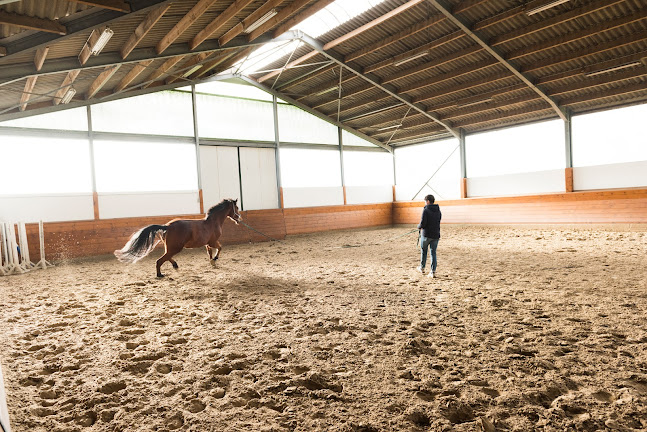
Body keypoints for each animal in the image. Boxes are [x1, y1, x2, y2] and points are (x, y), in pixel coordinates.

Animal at [112, 199, 242, 276]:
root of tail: (167, 226)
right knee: (160, 260)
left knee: (167, 257)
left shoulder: (208, 243)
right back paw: (160, 274)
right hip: (176, 247)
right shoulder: (213, 241)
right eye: (237, 208)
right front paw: (215, 259)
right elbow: (220, 248)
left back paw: (175, 266)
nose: (239, 219)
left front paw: (212, 262)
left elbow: (210, 251)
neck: (212, 222)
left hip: (171, 247)